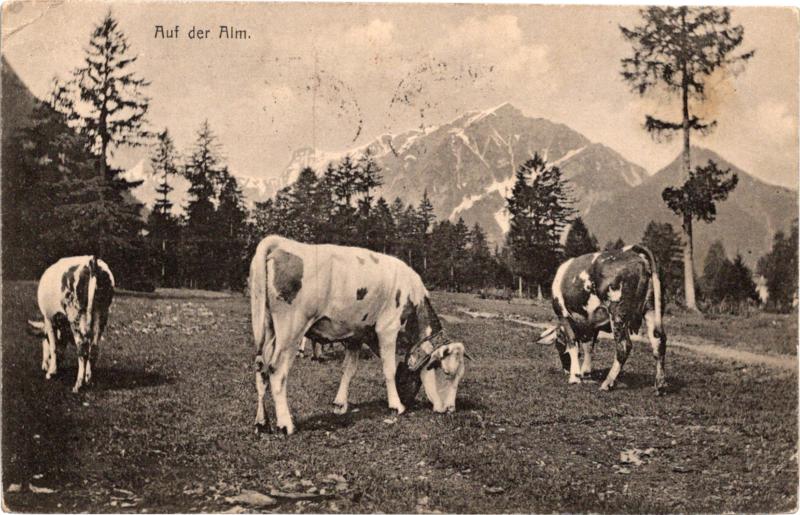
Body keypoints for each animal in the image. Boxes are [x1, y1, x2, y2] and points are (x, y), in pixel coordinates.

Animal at [27, 256, 115, 393]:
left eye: (43, 338)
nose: (43, 367)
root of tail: (92, 260)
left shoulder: (49, 319)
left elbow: (54, 347)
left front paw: (51, 372)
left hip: (75, 315)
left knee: (82, 348)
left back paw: (78, 385)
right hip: (102, 312)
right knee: (94, 348)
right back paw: (88, 380)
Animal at [249, 235, 470, 435]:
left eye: (461, 375)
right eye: (447, 372)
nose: (450, 409)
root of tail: (280, 242)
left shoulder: (355, 336)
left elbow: (349, 370)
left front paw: (340, 404)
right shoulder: (387, 329)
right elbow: (389, 370)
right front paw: (396, 405)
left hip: (268, 329)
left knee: (261, 368)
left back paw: (262, 422)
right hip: (292, 329)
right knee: (277, 371)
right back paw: (286, 424)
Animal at [539, 245, 667, 395]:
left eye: (558, 345)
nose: (565, 370)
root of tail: (632, 250)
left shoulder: (564, 315)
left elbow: (573, 344)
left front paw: (575, 376)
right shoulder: (591, 324)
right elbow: (588, 346)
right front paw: (585, 372)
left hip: (618, 312)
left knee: (624, 346)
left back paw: (608, 382)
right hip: (651, 308)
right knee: (658, 342)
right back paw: (660, 385)